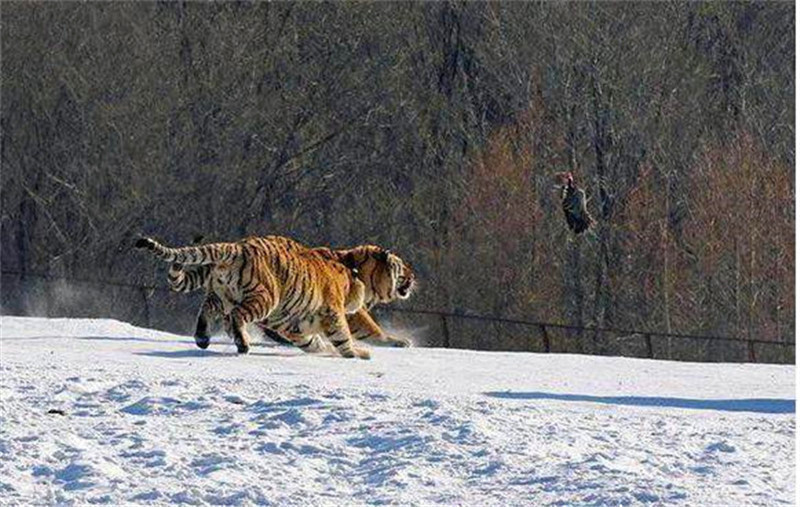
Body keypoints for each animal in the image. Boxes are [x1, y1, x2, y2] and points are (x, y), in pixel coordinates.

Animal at [134, 236, 416, 360]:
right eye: (402, 266)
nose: (414, 276)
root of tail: (236, 246)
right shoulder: (337, 311)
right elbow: (354, 334)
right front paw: (365, 351)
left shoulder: (297, 323)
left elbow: (312, 340)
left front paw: (322, 348)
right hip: (265, 298)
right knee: (236, 316)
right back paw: (242, 344)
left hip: (222, 295)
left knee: (207, 309)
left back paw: (203, 337)